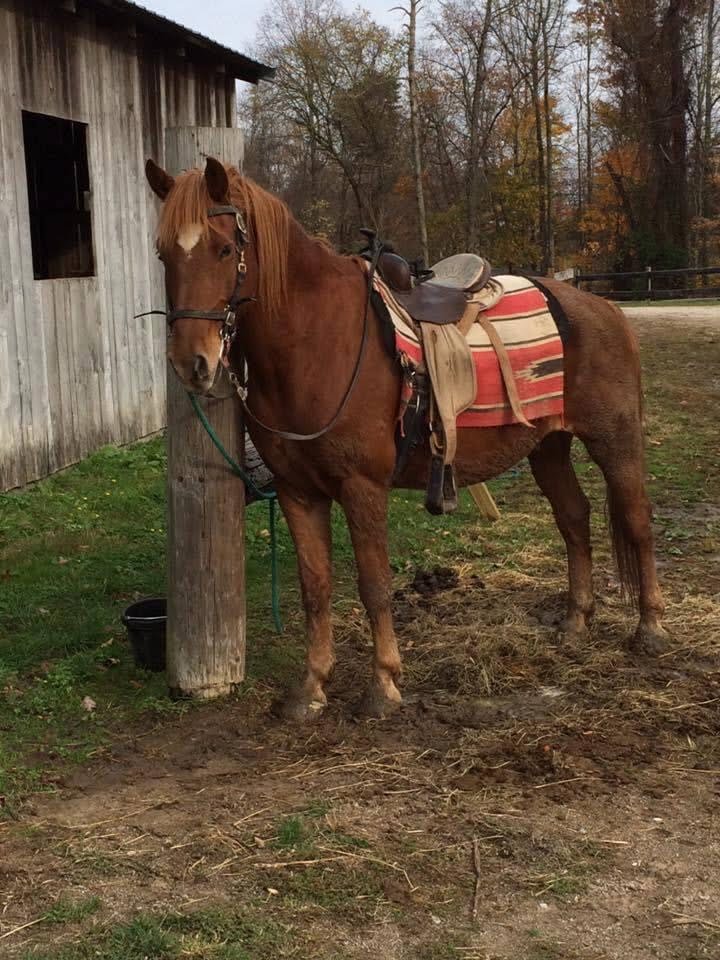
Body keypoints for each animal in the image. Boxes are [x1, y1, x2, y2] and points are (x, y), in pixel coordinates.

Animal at [145, 156, 668, 722]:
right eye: (163, 252)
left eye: (224, 249)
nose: (191, 363)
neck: (315, 341)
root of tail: (602, 308)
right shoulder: (296, 492)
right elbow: (315, 586)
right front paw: (311, 687)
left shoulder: (362, 487)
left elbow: (374, 586)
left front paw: (383, 685)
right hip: (548, 447)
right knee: (573, 517)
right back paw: (575, 622)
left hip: (614, 439)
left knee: (636, 520)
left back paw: (651, 628)